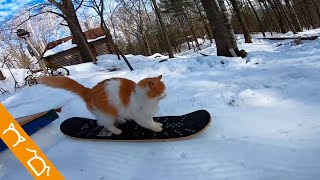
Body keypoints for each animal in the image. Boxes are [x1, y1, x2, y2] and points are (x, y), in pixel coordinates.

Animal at [37, 75, 168, 135]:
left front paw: (157, 124)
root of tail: (89, 91)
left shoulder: (148, 114)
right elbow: (148, 124)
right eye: (162, 91)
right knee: (105, 124)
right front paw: (156, 128)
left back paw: (120, 120)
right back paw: (116, 130)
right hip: (106, 115)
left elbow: (151, 121)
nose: (166, 94)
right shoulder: (140, 117)